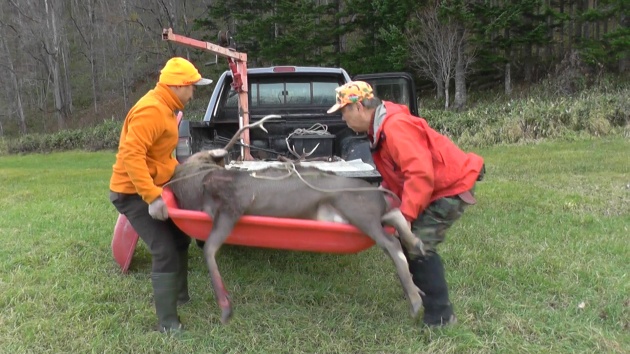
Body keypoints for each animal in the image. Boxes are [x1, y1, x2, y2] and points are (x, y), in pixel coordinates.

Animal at [167, 115, 430, 324]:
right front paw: (225, 306)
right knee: (392, 220)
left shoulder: (234, 203)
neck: (198, 182)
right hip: (349, 214)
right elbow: (209, 248)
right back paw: (416, 256)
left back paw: (415, 298)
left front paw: (225, 307)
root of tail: (378, 194)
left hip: (355, 207)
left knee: (391, 241)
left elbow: (209, 249)